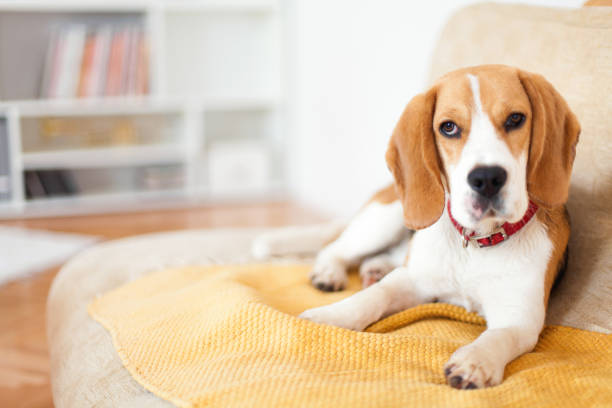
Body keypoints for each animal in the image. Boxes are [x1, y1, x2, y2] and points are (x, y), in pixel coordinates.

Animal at [251, 65, 580, 390]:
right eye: (449, 127)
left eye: (515, 119)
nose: (487, 178)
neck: (476, 243)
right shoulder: (412, 280)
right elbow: (374, 296)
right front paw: (333, 314)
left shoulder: (520, 317)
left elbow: (499, 336)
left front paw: (475, 361)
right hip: (388, 218)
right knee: (334, 249)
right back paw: (329, 273)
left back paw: (374, 268)